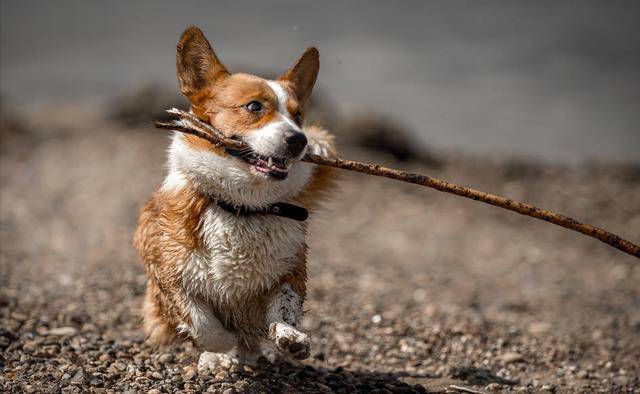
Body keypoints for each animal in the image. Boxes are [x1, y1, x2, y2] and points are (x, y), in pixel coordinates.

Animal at [133, 26, 338, 372]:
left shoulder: (290, 271)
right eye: (255, 107)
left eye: (298, 115)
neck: (241, 206)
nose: (300, 140)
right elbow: (202, 324)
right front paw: (219, 349)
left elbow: (286, 305)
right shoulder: (172, 279)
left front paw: (291, 337)